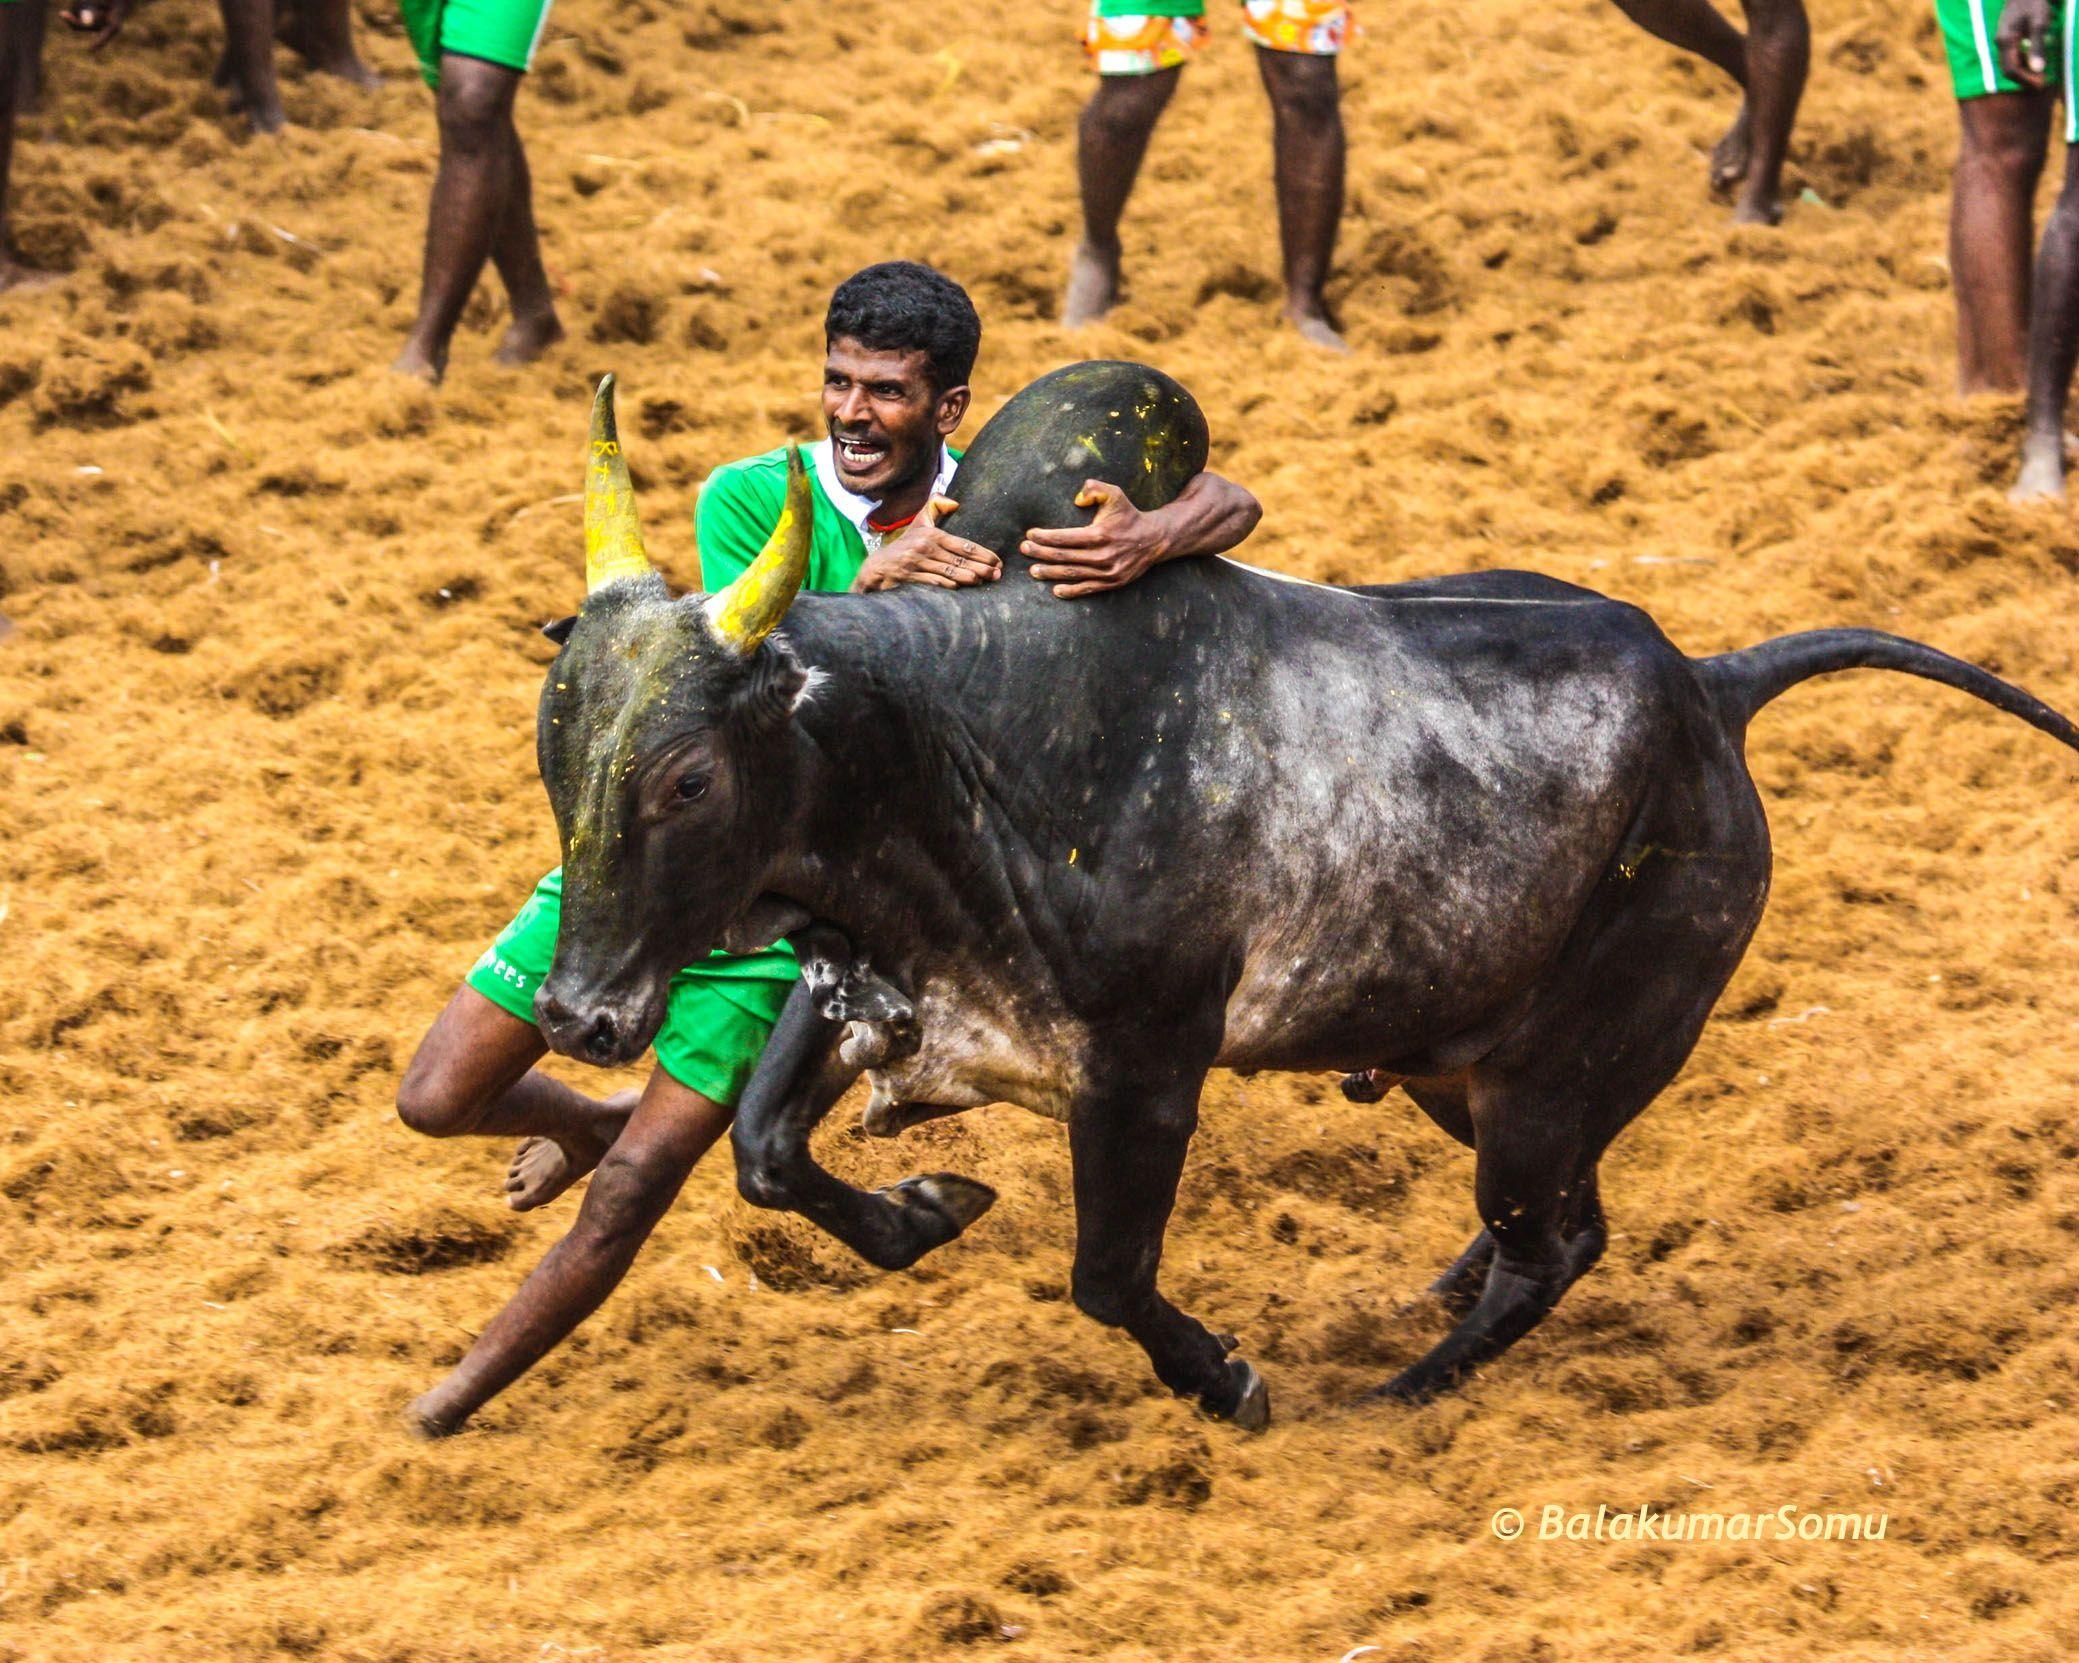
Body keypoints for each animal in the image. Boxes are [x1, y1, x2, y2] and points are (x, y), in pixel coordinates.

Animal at [536, 363, 2079, 1430]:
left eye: (687, 778)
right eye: (556, 746)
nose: (578, 1013)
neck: (954, 742)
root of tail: (1708, 685)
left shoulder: (1146, 1074)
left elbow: (1106, 1275)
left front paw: (1229, 1380)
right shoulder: (864, 986)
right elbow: (765, 1152)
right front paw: (927, 1204)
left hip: (1560, 1070)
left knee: (1556, 1238)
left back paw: (1401, 1393)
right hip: (1453, 1063)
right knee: (1548, 1224)